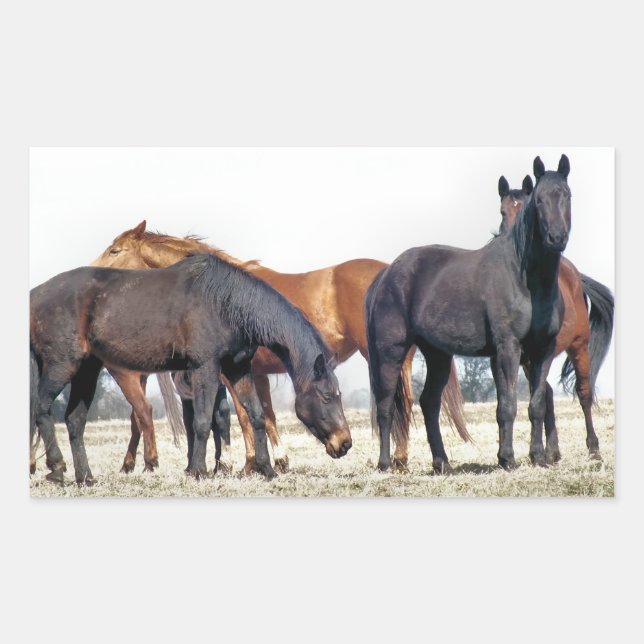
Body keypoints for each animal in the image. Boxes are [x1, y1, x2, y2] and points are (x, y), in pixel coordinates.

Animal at [30, 254, 352, 484]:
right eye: (326, 396)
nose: (345, 443)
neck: (226, 303)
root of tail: (35, 295)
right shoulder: (205, 367)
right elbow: (202, 421)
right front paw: (198, 471)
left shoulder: (238, 369)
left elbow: (256, 415)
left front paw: (266, 469)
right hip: (62, 365)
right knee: (42, 408)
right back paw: (56, 468)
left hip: (87, 370)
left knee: (74, 421)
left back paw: (85, 477)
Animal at [91, 223, 470, 474]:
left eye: (115, 250)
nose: (92, 272)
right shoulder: (254, 372)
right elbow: (264, 415)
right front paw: (275, 461)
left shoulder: (230, 372)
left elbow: (242, 416)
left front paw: (247, 464)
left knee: (400, 401)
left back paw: (398, 459)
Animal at [366, 154, 573, 473]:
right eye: (538, 200)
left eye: (566, 195)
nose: (556, 237)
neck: (525, 278)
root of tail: (386, 274)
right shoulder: (508, 349)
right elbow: (507, 405)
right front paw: (508, 459)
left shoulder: (543, 351)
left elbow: (536, 404)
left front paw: (537, 457)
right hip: (391, 352)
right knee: (387, 405)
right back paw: (385, 463)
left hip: (438, 355)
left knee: (429, 403)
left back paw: (442, 463)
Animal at [498, 174, 614, 460]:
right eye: (503, 212)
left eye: (526, 208)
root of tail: (575, 275)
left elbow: (540, 398)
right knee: (547, 392)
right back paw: (553, 450)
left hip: (579, 346)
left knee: (583, 392)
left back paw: (593, 448)